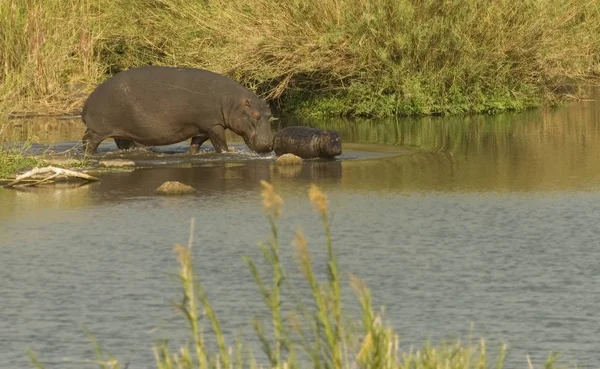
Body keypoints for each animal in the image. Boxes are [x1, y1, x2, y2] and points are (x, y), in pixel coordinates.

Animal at [79, 65, 274, 155]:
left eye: (270, 115)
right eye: (255, 115)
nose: (268, 145)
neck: (231, 102)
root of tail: (87, 102)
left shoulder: (202, 128)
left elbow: (196, 142)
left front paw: (193, 153)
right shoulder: (214, 125)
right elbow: (220, 143)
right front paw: (228, 152)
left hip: (122, 131)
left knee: (123, 143)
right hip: (98, 129)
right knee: (87, 141)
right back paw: (91, 154)